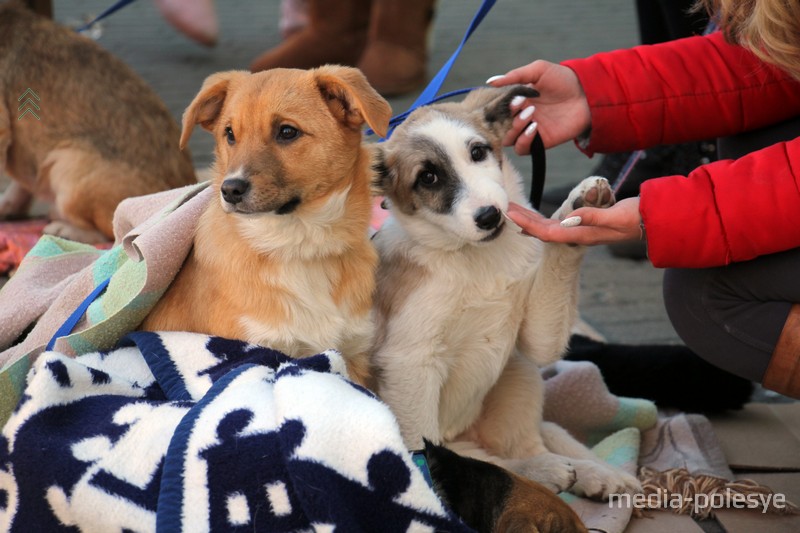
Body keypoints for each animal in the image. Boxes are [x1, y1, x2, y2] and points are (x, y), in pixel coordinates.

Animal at [144, 65, 394, 386]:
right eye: (229, 133)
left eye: (287, 131)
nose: (230, 190)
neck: (300, 247)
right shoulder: (254, 352)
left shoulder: (352, 354)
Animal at [372, 85, 640, 496]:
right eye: (428, 177)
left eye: (478, 152)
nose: (489, 217)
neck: (471, 258)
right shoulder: (409, 363)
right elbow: (424, 457)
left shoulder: (535, 339)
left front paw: (576, 211)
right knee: (484, 462)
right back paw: (549, 471)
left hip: (519, 371)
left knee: (529, 440)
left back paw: (592, 471)